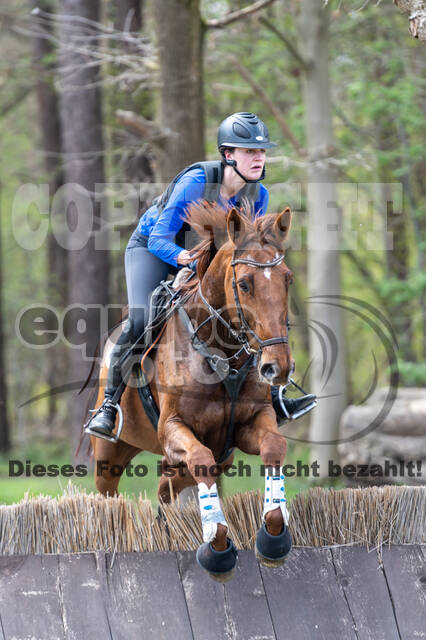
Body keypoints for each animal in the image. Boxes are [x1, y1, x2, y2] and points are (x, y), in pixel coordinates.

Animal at [90, 205, 294, 580]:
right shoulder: (174, 428)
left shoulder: (248, 425)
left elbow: (274, 447)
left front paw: (274, 537)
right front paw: (217, 545)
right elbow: (202, 460)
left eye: (287, 279)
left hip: (194, 461)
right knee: (108, 493)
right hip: (110, 454)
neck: (220, 350)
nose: (279, 366)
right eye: (244, 284)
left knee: (165, 491)